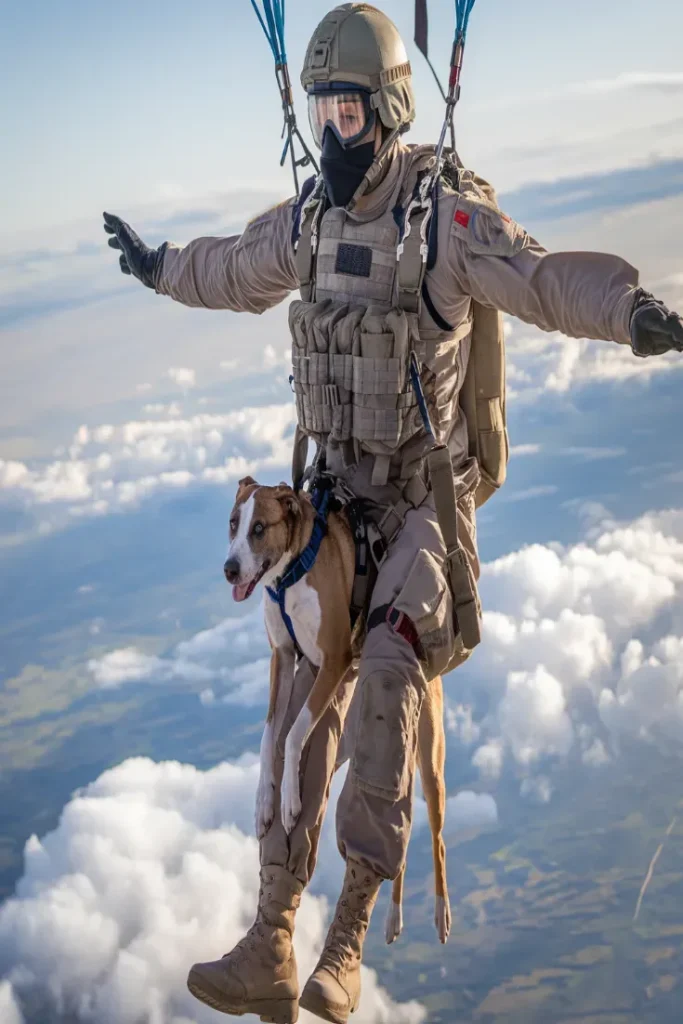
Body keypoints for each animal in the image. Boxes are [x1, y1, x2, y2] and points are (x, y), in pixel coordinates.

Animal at [224, 477, 456, 942]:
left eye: (259, 528)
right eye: (233, 523)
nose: (230, 569)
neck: (290, 575)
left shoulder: (332, 662)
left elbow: (294, 733)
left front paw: (289, 800)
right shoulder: (283, 658)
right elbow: (270, 736)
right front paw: (264, 801)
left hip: (428, 760)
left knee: (436, 836)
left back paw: (441, 913)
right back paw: (393, 916)